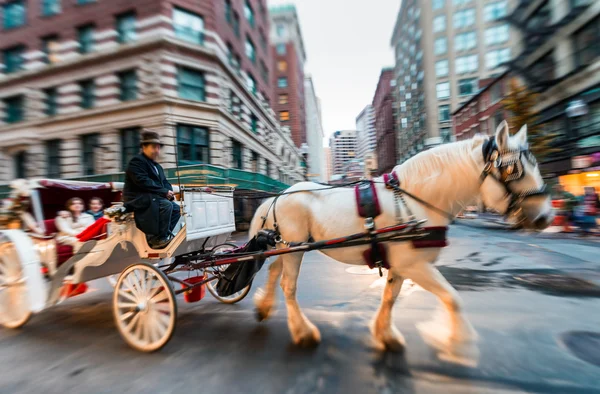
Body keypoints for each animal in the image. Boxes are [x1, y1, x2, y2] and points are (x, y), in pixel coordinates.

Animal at [248, 121, 552, 364]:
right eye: (513, 169)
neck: (416, 200)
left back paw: (264, 307)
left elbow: (390, 297)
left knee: (274, 271)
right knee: (288, 285)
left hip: (288, 247)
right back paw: (303, 332)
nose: (546, 216)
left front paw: (386, 335)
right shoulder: (415, 265)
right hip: (294, 248)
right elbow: (452, 299)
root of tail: (279, 195)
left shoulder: (402, 265)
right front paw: (458, 345)